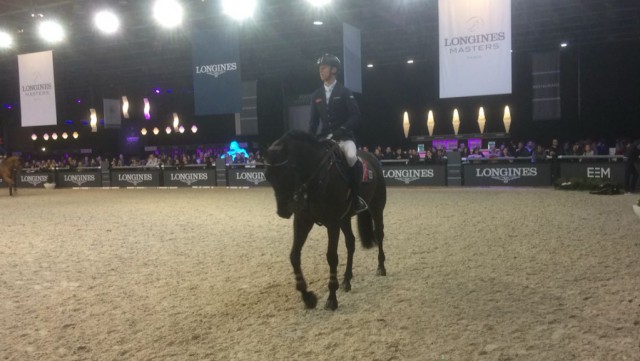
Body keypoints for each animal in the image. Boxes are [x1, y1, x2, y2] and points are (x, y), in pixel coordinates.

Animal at [264, 131, 388, 310]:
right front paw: (308, 297)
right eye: (267, 175)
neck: (316, 179)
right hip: (345, 219)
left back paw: (381, 268)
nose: (283, 211)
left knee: (379, 234)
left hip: (376, 208)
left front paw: (331, 299)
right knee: (350, 242)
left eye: (289, 171)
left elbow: (331, 257)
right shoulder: (303, 221)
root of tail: (372, 157)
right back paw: (346, 280)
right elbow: (294, 256)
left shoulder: (332, 223)